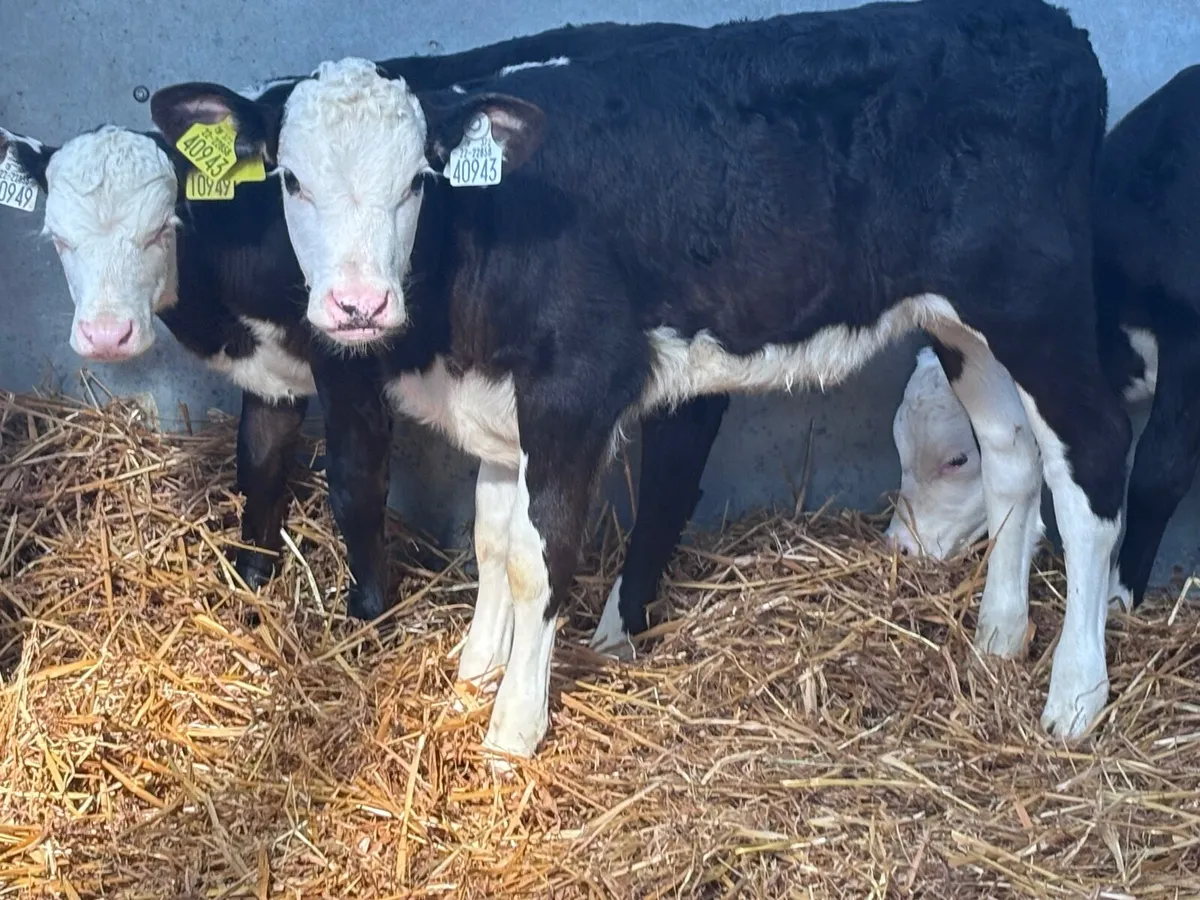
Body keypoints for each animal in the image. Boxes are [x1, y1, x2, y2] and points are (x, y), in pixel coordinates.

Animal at [0, 21, 725, 629]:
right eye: (56, 238)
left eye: (161, 227)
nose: (106, 336)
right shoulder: (272, 371)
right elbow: (258, 459)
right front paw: (253, 575)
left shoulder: (346, 363)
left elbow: (355, 482)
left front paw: (369, 611)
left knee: (670, 474)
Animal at [151, 0, 1125, 761]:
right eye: (291, 178)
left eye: (420, 179)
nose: (357, 305)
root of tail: (1051, 27)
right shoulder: (499, 403)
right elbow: (492, 543)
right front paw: (474, 672)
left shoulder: (575, 391)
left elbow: (543, 556)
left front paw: (512, 726)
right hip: (962, 322)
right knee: (1010, 454)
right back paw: (1000, 636)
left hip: (1038, 304)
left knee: (1092, 468)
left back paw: (1076, 695)